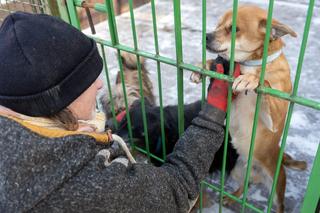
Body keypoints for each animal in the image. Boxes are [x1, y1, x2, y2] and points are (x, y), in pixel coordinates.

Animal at [191, 5, 306, 213]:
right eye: (217, 25)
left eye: (233, 29)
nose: (206, 36)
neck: (251, 63)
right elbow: (214, 64)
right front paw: (201, 68)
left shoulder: (274, 121)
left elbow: (264, 83)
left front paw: (251, 80)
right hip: (238, 170)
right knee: (247, 184)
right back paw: (233, 197)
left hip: (276, 185)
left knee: (279, 204)